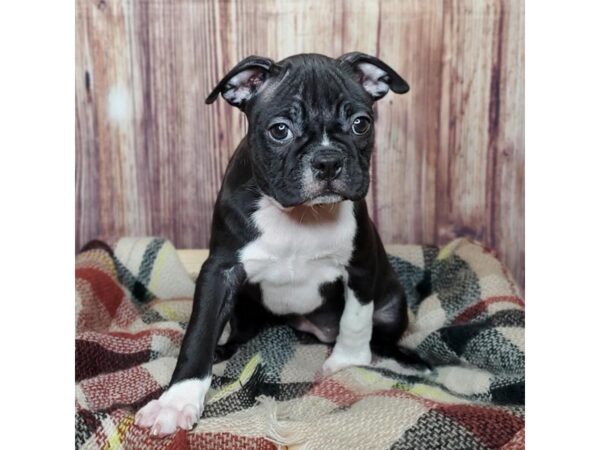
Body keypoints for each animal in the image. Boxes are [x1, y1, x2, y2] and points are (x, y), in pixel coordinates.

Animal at [136, 51, 426, 436]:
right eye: (279, 130)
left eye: (361, 124)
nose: (328, 160)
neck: (299, 215)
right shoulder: (220, 272)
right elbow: (199, 334)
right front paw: (177, 401)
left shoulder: (361, 266)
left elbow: (355, 320)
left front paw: (346, 363)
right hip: (244, 306)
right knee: (240, 333)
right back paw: (223, 350)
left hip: (392, 304)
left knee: (381, 333)